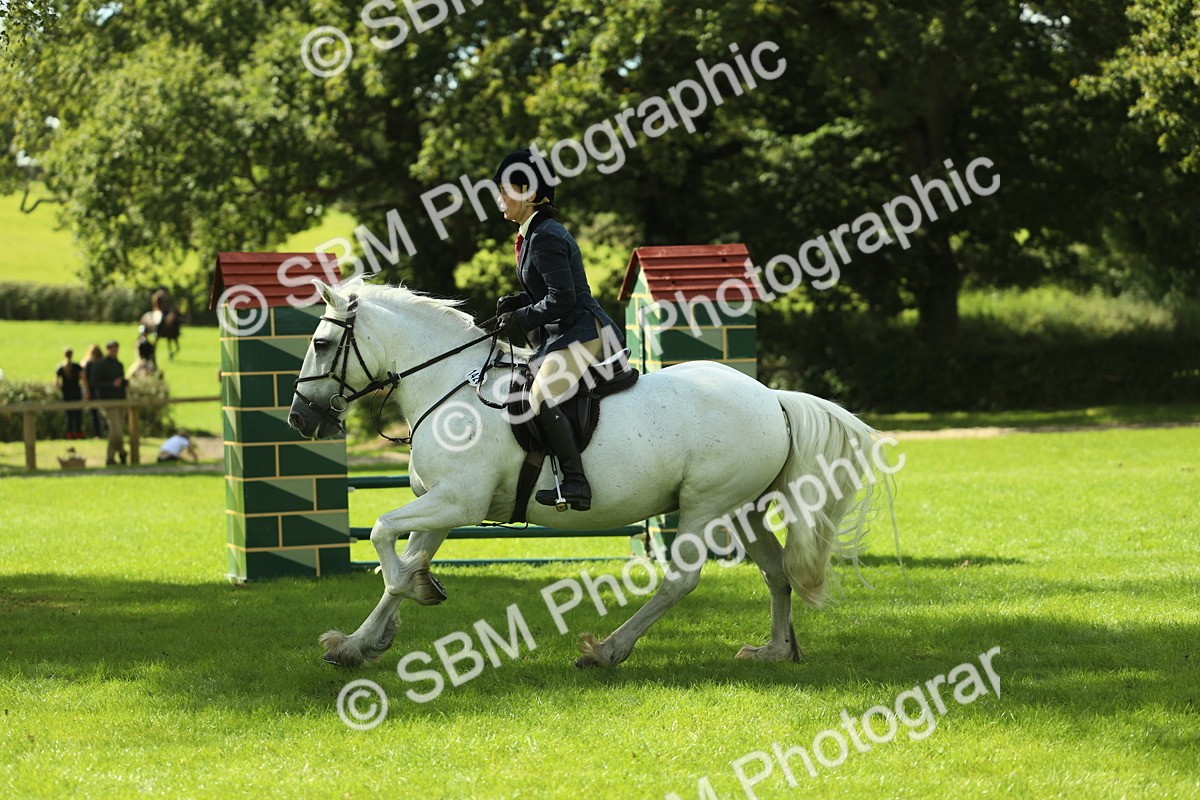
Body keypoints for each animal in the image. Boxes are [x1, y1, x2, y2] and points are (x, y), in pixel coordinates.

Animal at [287, 279, 897, 669]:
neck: (449, 385)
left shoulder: (457, 501)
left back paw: (607, 651)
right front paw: (359, 642)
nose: (299, 417)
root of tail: (772, 398)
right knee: (776, 573)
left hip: (706, 506)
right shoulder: (439, 505)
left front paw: (408, 599)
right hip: (742, 510)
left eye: (320, 343)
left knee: (681, 580)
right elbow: (403, 559)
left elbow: (381, 537)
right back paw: (774, 651)